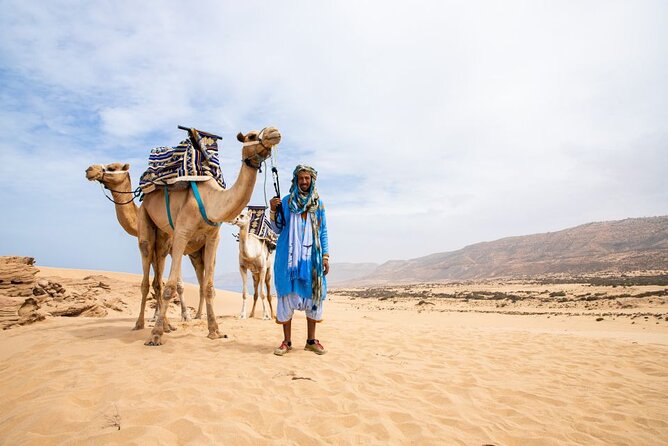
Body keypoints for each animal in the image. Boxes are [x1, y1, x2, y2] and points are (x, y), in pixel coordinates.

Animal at [85, 163, 208, 328]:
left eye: (112, 168)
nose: (90, 170)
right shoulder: (157, 251)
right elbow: (157, 283)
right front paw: (155, 317)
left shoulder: (170, 248)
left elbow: (178, 284)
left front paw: (184, 316)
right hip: (195, 253)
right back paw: (199, 314)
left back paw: (199, 316)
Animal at [140, 127, 281, 346]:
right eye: (251, 136)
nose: (274, 131)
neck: (210, 202)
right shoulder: (181, 233)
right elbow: (170, 286)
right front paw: (155, 336)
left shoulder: (213, 237)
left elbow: (208, 286)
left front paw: (215, 331)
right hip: (146, 220)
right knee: (147, 266)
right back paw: (140, 325)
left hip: (163, 237)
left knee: (158, 270)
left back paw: (167, 326)